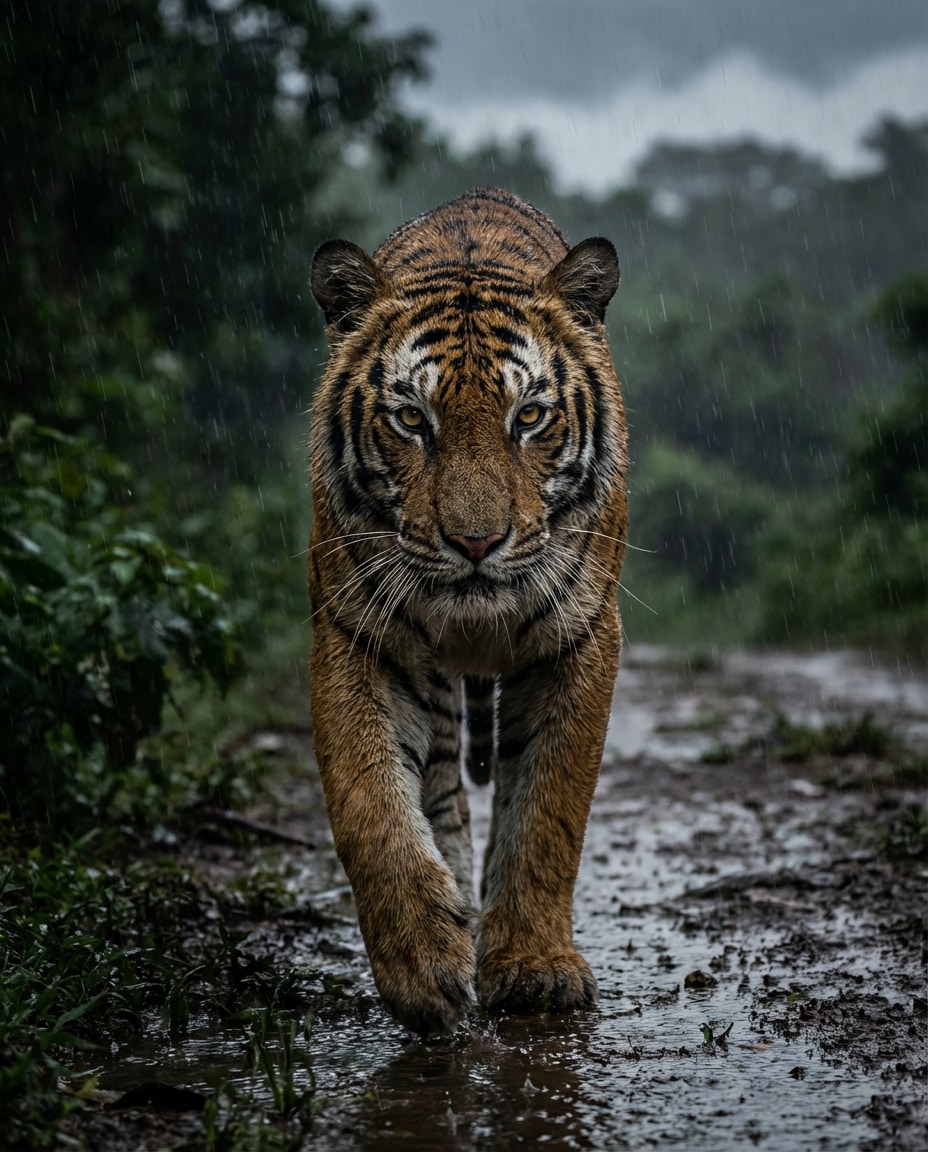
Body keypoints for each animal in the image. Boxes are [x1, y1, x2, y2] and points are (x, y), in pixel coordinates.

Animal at [307, 188, 627, 1035]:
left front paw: (534, 967)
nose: (476, 541)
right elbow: (369, 803)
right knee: (441, 793)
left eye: (530, 418)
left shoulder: (580, 638)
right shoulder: (357, 634)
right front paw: (423, 962)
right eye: (413, 419)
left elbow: (547, 808)